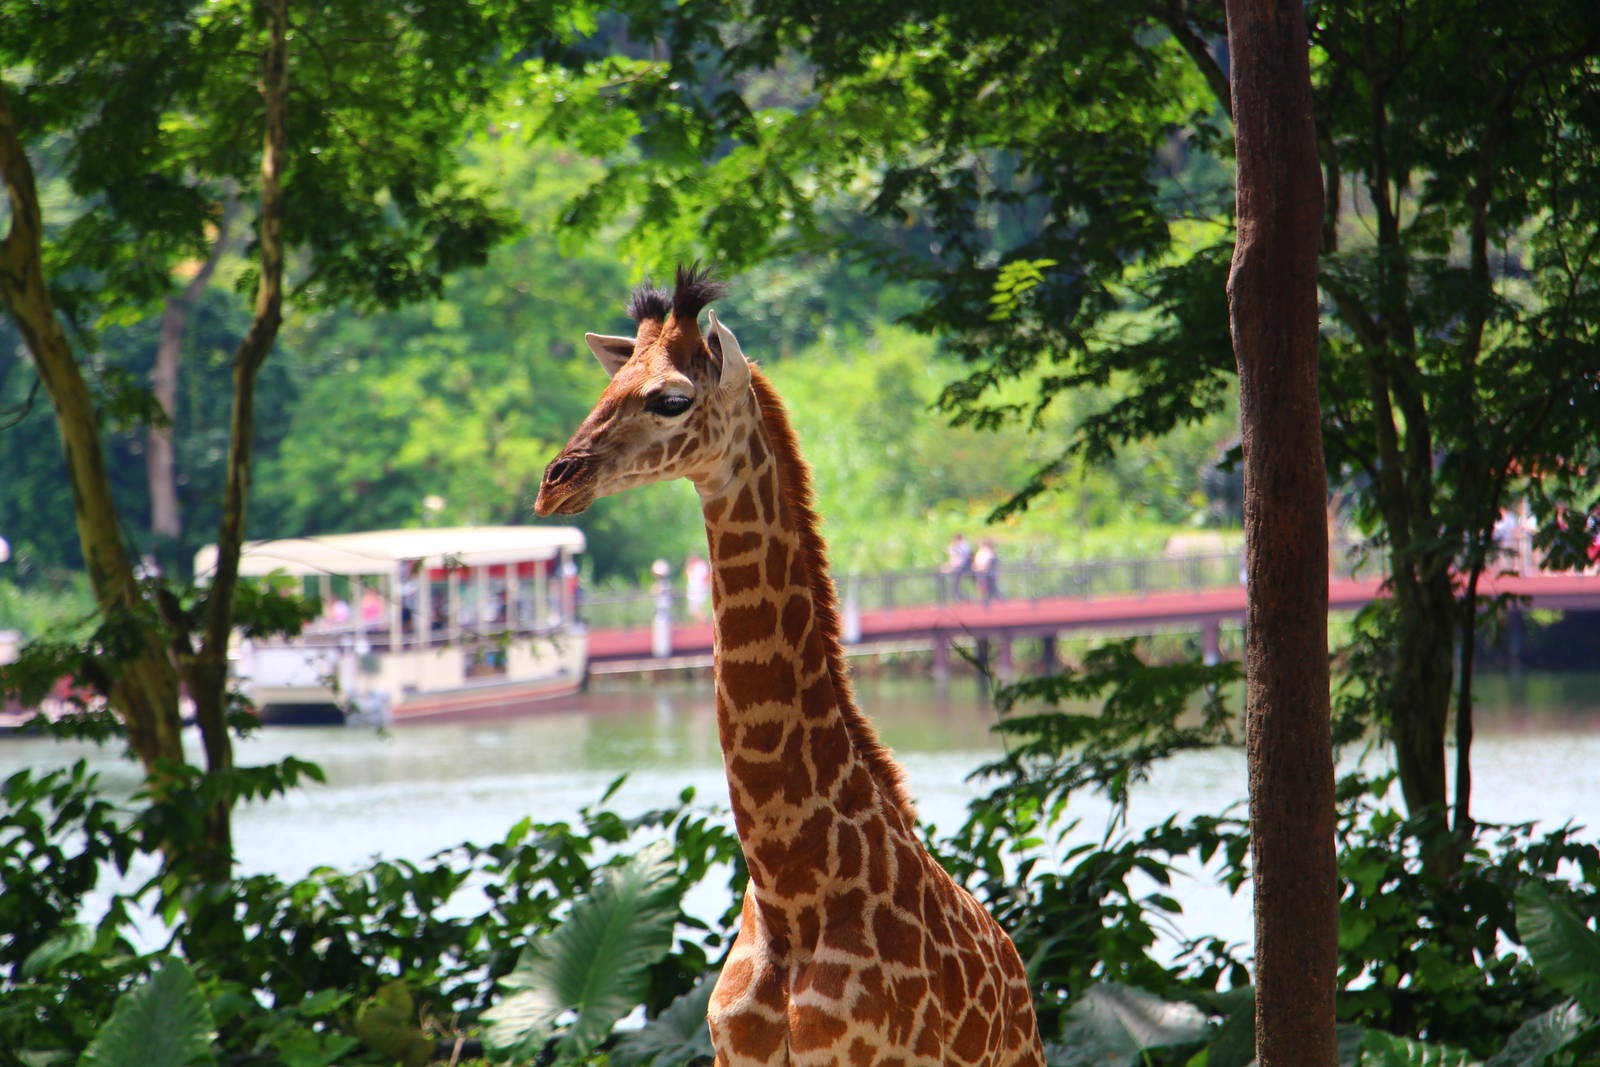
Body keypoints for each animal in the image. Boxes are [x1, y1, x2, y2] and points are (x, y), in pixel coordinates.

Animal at [534, 265, 1045, 1067]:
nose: (555, 481)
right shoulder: (728, 1053)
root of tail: (1017, 975)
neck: (791, 891)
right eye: (608, 387)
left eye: (671, 397)